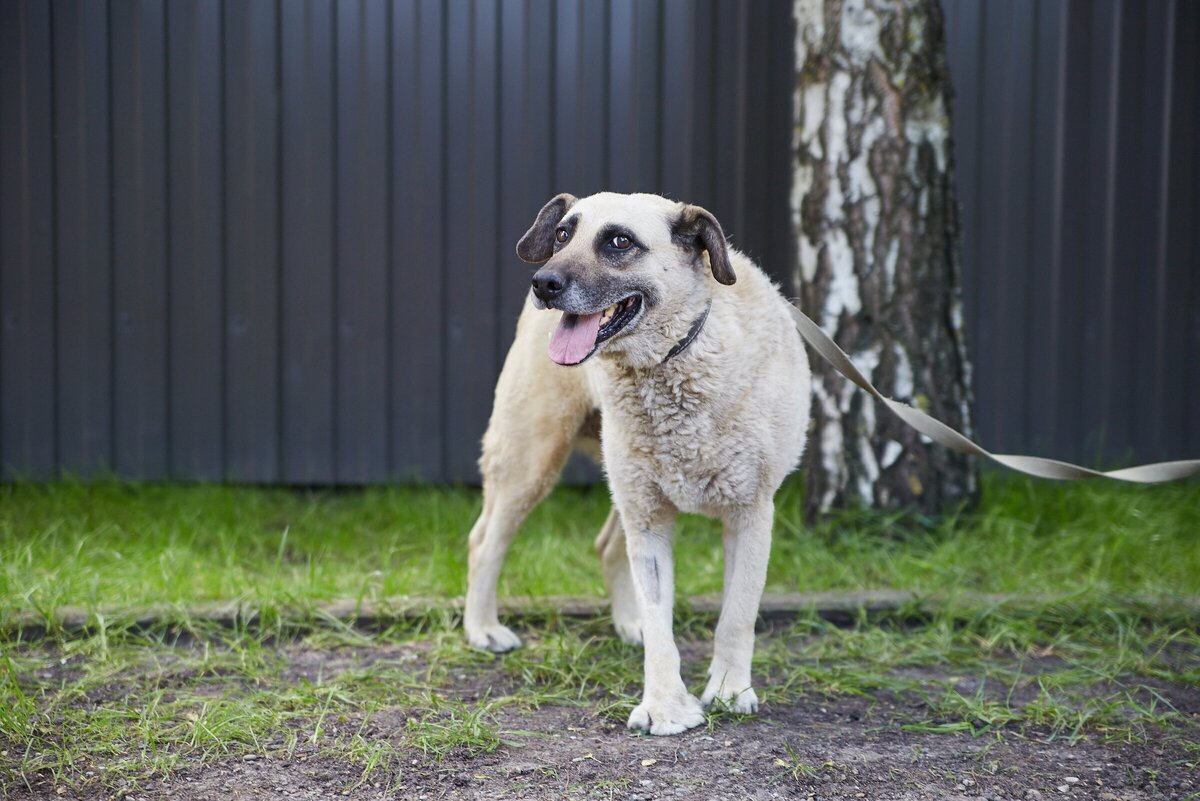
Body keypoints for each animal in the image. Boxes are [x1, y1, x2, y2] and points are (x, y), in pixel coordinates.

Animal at [463, 190, 811, 733]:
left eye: (619, 242)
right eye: (562, 234)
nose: (543, 283)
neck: (672, 361)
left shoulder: (750, 514)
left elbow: (737, 614)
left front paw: (729, 690)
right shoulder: (648, 521)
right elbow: (660, 615)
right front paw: (666, 705)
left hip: (616, 478)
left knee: (606, 545)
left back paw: (628, 625)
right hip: (532, 460)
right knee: (485, 541)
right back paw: (483, 629)